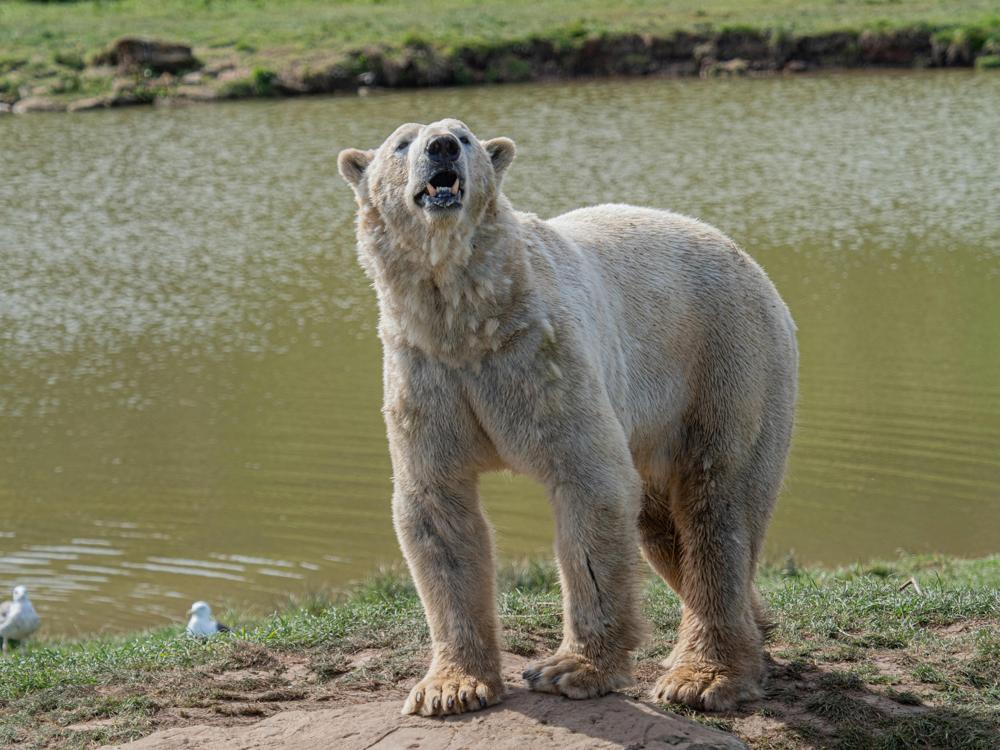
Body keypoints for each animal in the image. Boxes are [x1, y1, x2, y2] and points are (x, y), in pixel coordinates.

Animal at [337, 119, 797, 716]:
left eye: (464, 136)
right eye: (402, 143)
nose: (441, 147)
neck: (469, 322)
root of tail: (750, 262)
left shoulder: (544, 357)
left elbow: (590, 485)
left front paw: (571, 669)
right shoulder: (426, 373)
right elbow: (436, 508)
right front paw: (450, 688)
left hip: (727, 360)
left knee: (715, 502)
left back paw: (703, 675)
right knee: (662, 526)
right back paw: (752, 625)